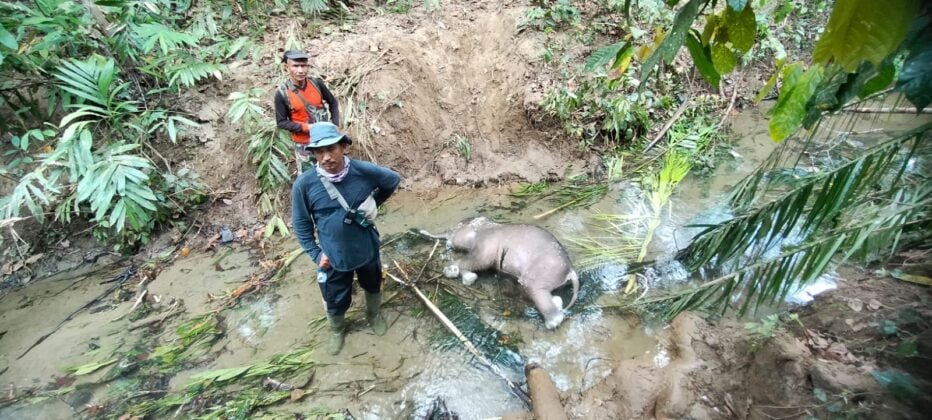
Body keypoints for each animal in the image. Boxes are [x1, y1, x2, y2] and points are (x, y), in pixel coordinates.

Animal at [440, 218, 580, 330]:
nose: (447, 238)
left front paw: (449, 271)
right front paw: (469, 277)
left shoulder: (486, 247)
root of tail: (570, 270)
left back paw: (551, 323)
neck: (486, 226)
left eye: (457, 226)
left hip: (539, 274)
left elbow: (477, 261)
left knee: (537, 292)